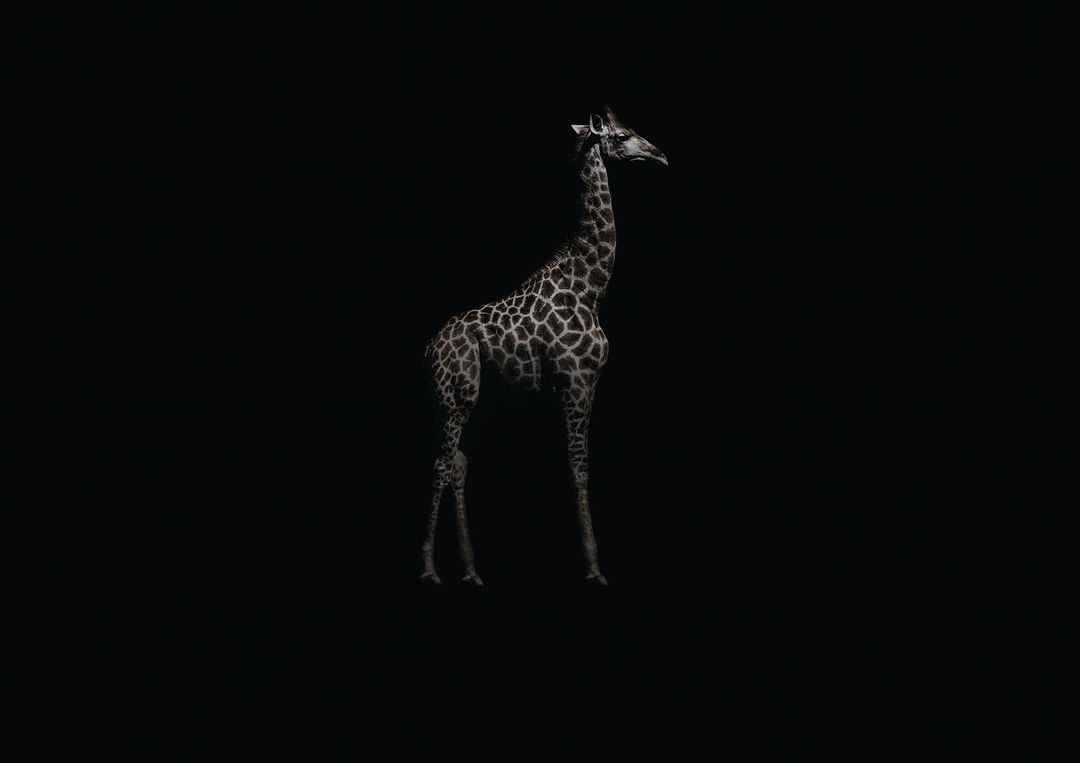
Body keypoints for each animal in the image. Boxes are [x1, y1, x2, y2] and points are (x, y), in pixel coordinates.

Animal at [421, 106, 668, 586]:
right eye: (623, 136)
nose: (660, 155)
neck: (591, 287)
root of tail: (428, 350)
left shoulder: (588, 384)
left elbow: (579, 466)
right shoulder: (573, 381)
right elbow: (578, 468)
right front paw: (593, 569)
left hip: (477, 403)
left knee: (458, 465)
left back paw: (471, 572)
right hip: (453, 397)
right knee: (439, 467)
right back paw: (428, 569)